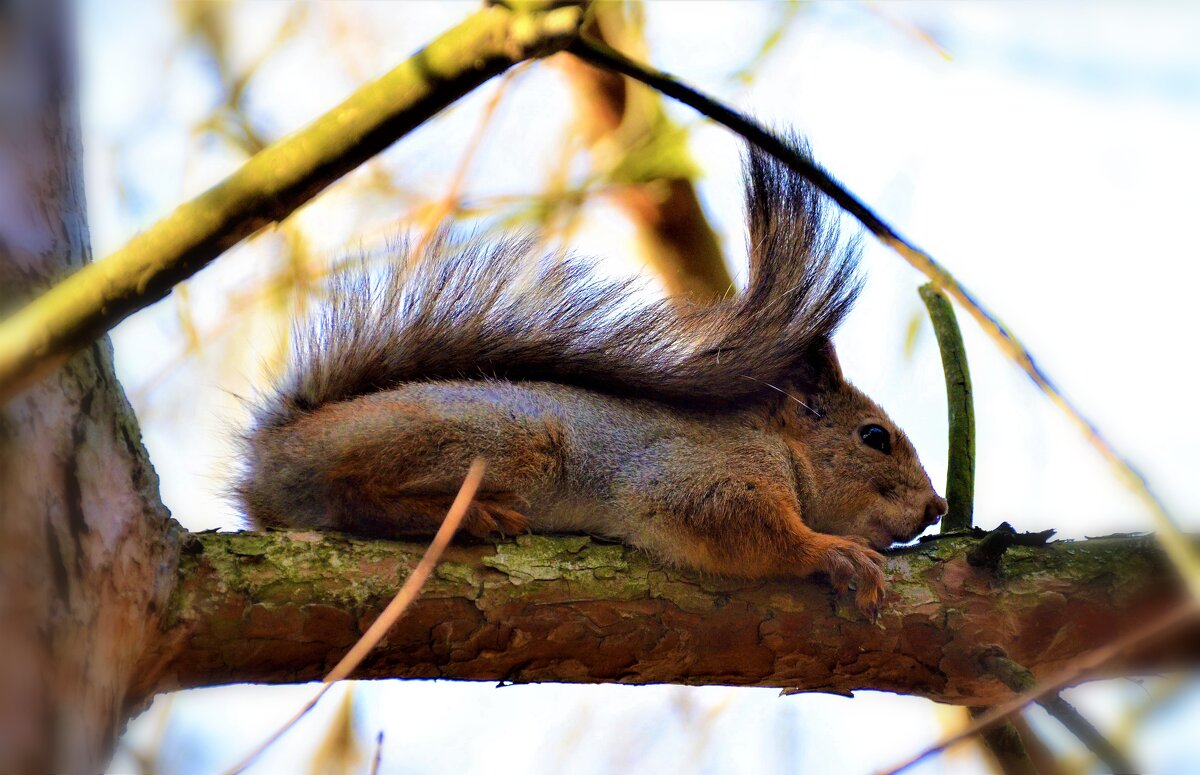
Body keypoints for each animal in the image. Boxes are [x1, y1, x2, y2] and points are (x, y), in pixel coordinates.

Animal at [236, 136, 945, 614]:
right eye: (874, 437)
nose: (937, 507)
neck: (777, 448)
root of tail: (273, 455)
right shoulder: (706, 472)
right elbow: (737, 525)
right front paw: (830, 552)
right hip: (501, 437)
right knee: (349, 488)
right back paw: (464, 517)